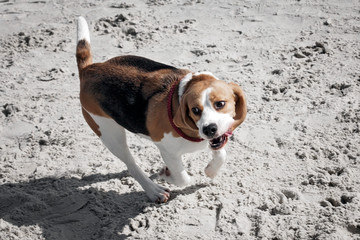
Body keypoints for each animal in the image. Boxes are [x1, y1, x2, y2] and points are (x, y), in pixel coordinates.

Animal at [75, 16, 246, 202]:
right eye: (195, 110)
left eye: (220, 104)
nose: (209, 129)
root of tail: (89, 70)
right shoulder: (168, 152)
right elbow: (183, 178)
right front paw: (166, 175)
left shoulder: (217, 139)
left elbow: (221, 154)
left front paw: (211, 171)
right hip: (110, 135)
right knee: (131, 165)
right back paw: (154, 190)